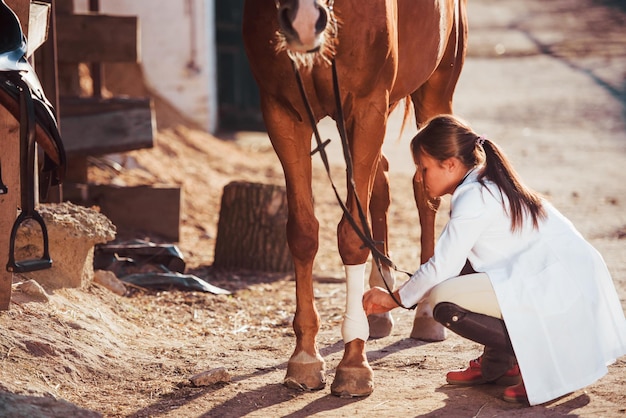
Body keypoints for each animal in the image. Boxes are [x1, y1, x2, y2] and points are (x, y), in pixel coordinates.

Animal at [241, 0, 466, 396]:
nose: (303, 23)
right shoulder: (283, 113)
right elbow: (303, 232)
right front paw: (304, 358)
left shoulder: (367, 107)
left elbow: (351, 236)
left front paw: (353, 363)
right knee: (381, 185)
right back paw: (380, 300)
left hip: (435, 90)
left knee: (425, 195)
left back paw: (425, 312)